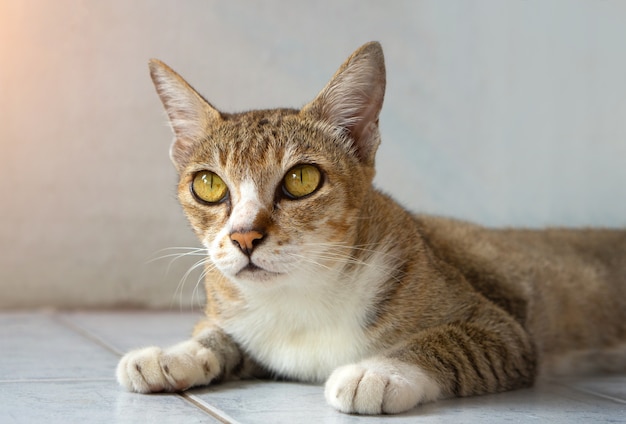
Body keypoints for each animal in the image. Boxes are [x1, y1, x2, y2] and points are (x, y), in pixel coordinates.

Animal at [118, 42, 624, 414]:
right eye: (207, 185)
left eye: (301, 180)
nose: (244, 236)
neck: (303, 297)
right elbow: (219, 335)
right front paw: (172, 354)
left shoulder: (503, 330)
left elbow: (453, 340)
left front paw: (378, 372)